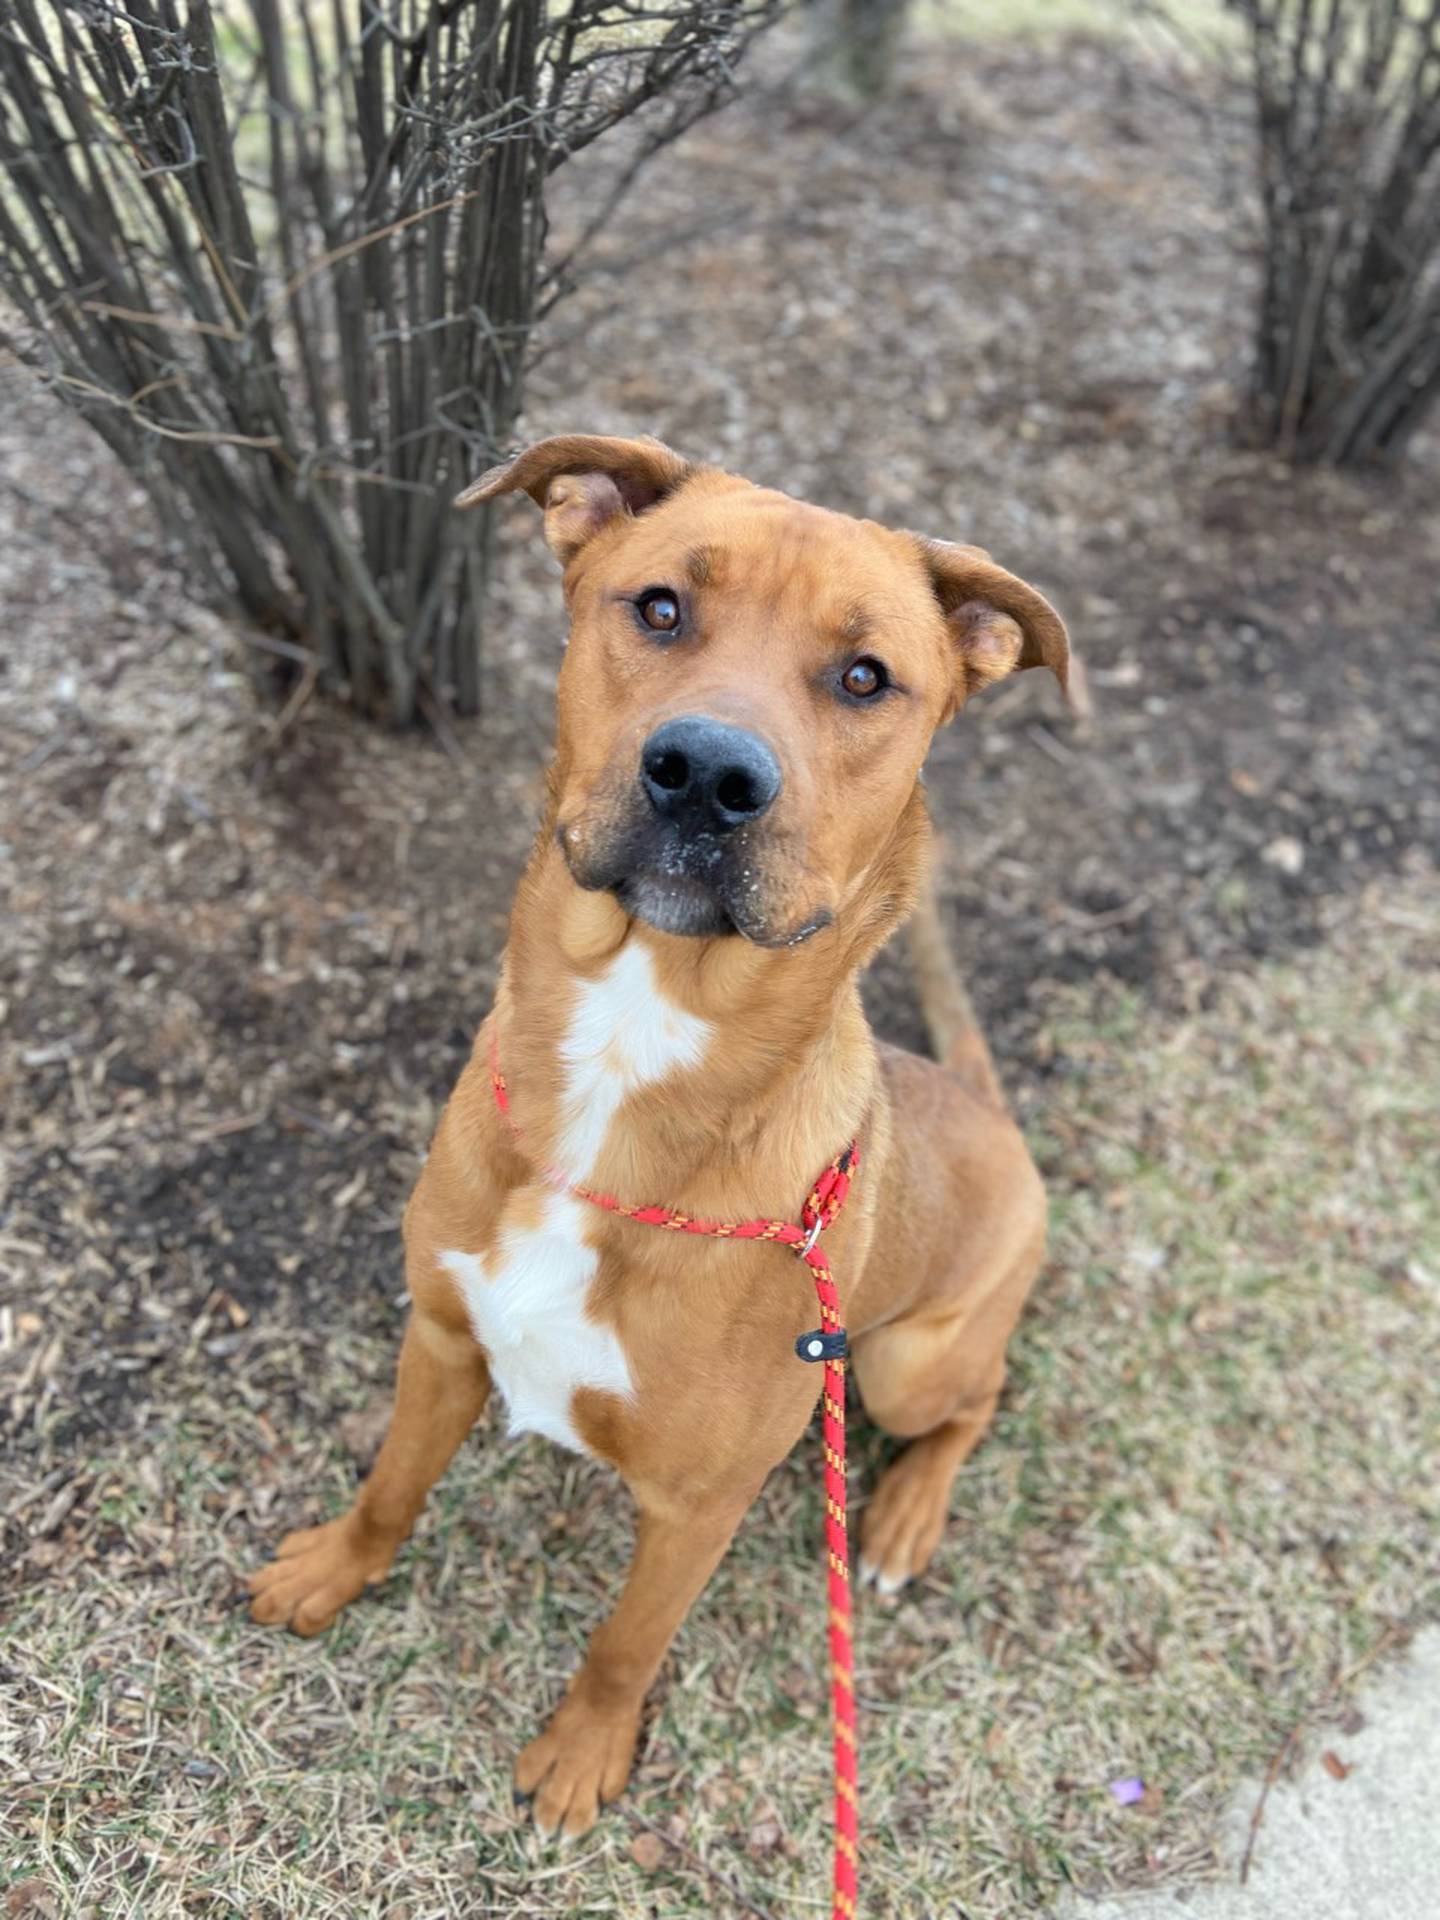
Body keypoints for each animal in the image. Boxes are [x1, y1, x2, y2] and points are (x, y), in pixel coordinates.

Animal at [247, 432, 1067, 1827]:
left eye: (866, 677)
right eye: (662, 607)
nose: (708, 775)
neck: (627, 1070)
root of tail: (991, 1113)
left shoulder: (697, 1505)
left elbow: (626, 1644)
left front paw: (583, 1753)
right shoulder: (442, 1336)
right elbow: (389, 1488)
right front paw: (332, 1573)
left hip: (904, 1364)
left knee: (978, 1395)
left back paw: (905, 1518)